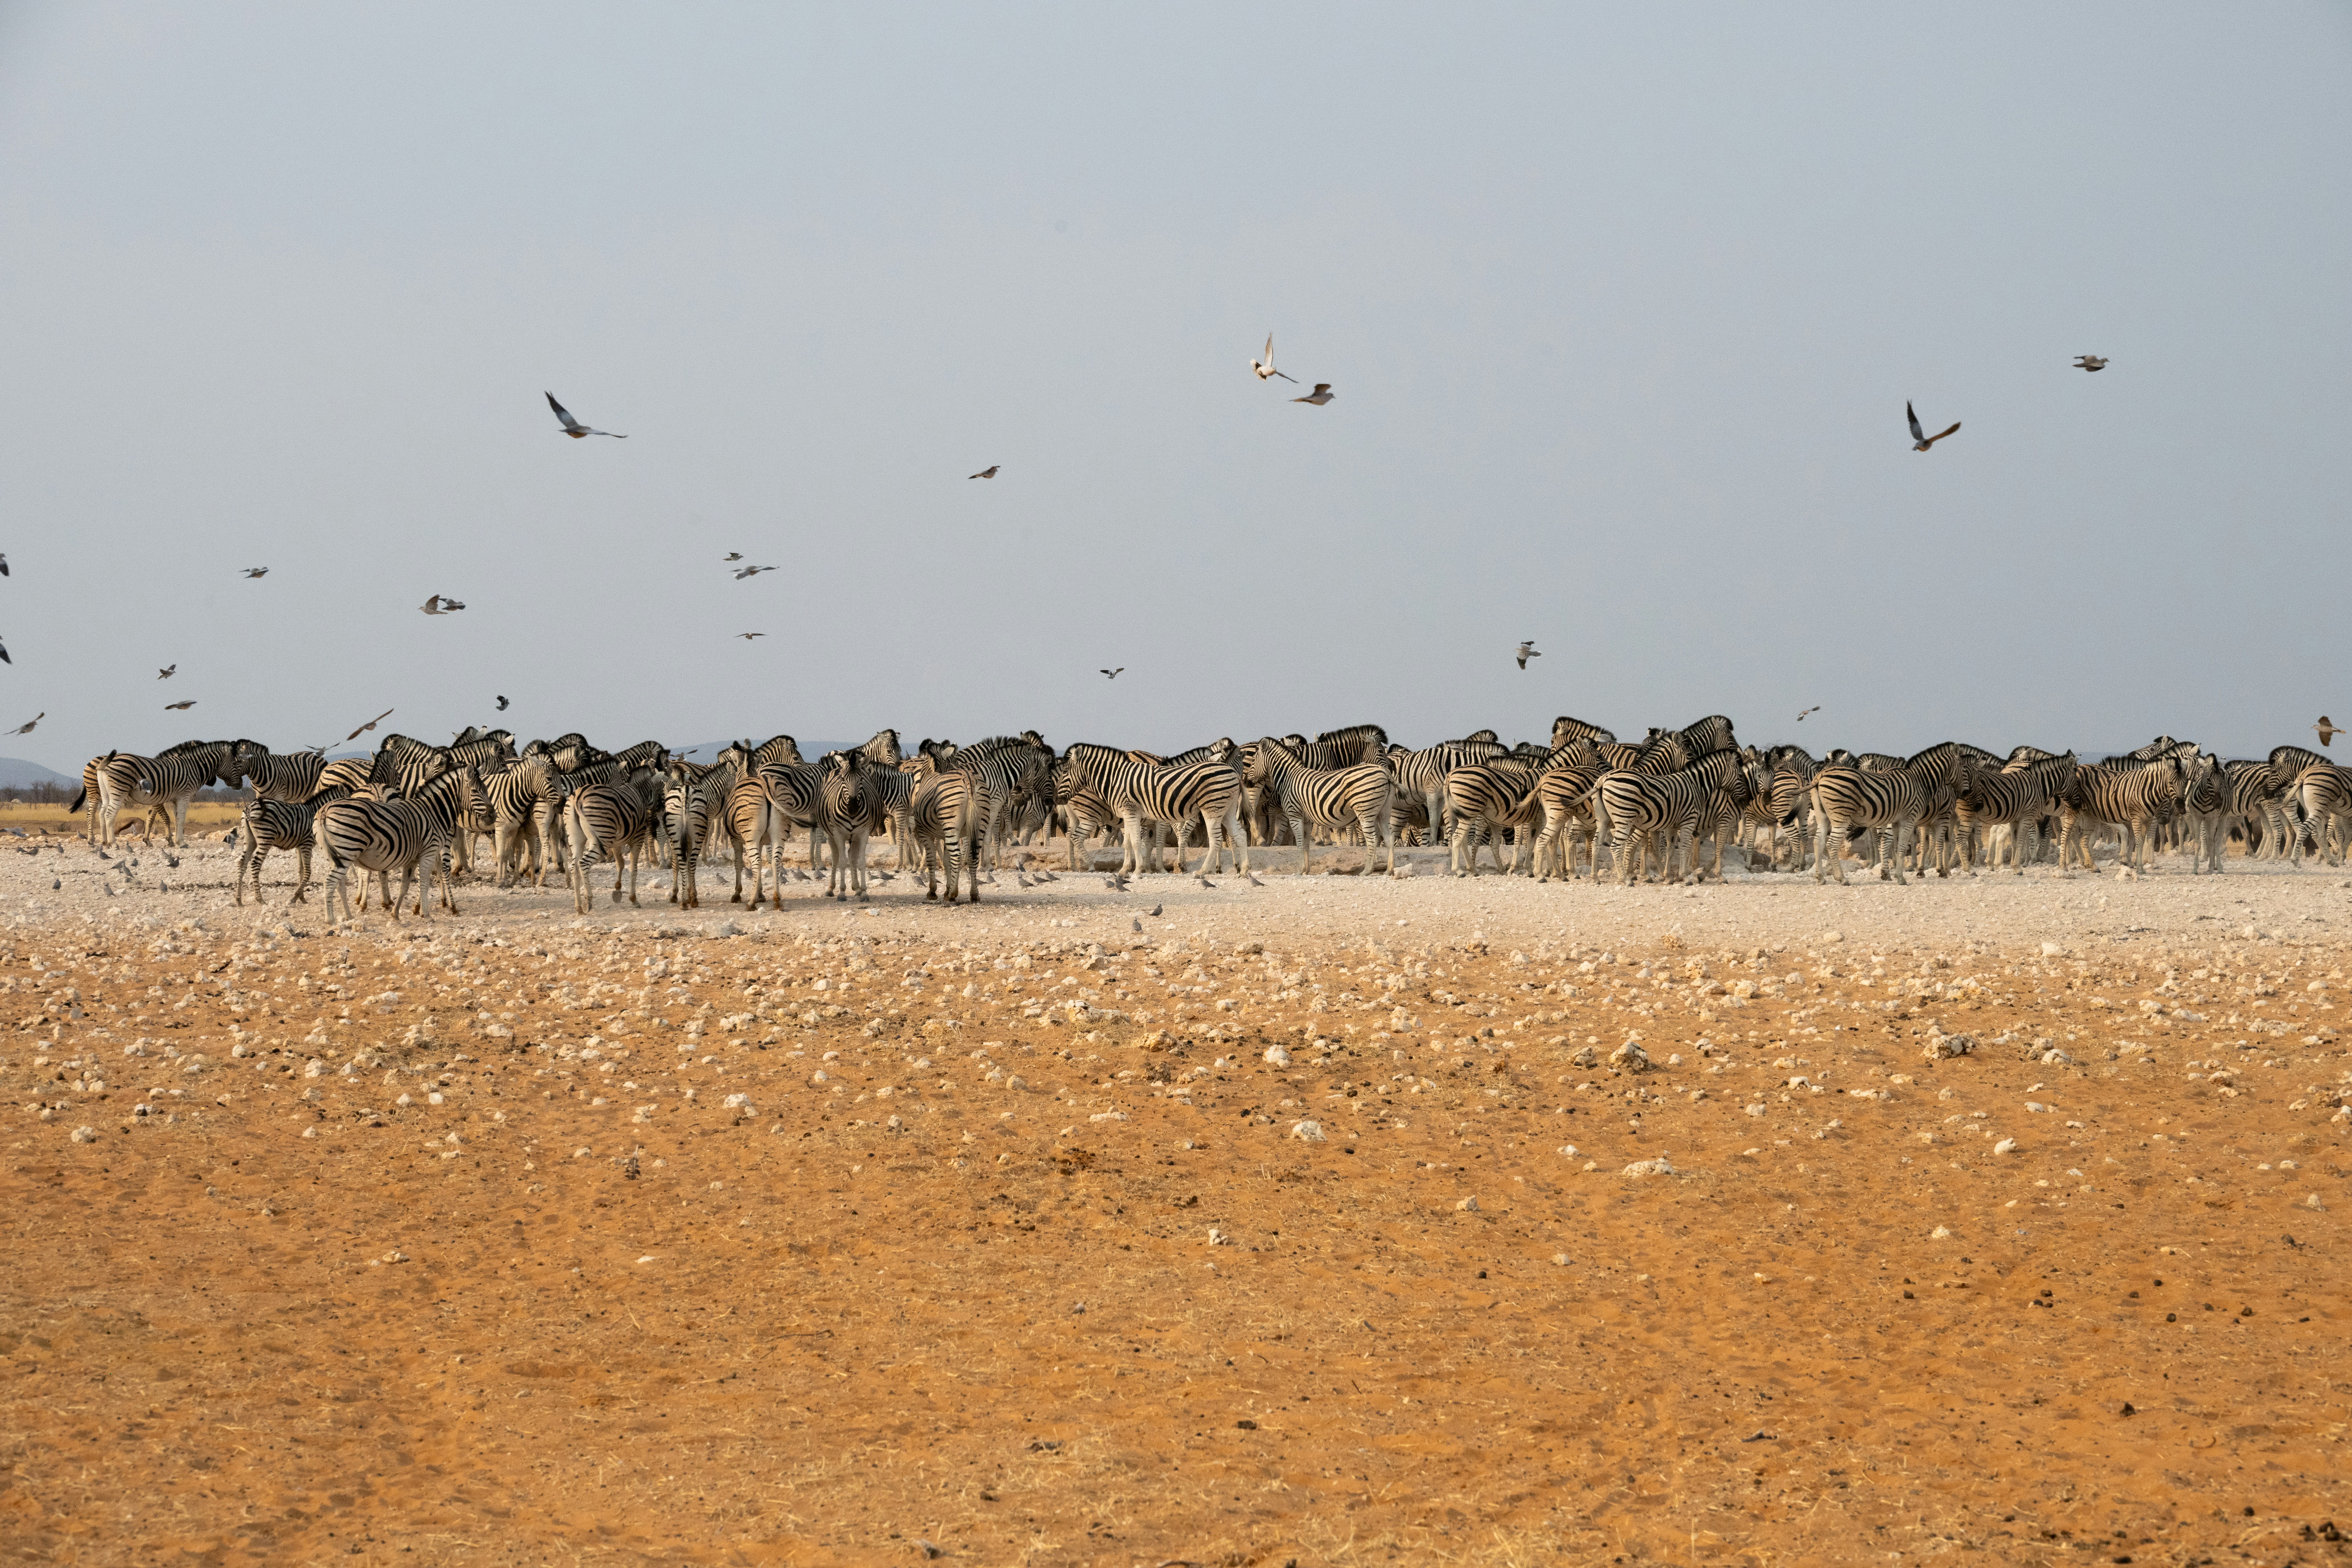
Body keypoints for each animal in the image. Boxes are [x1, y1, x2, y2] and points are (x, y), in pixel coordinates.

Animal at [317, 767, 485, 927]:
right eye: (476, 792)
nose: (491, 816)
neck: (433, 811)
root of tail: (325, 810)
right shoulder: (428, 852)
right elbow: (425, 881)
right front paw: (427, 913)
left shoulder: (415, 857)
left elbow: (406, 886)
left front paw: (399, 913)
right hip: (348, 852)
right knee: (332, 882)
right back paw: (331, 919)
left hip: (337, 856)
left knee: (340, 883)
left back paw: (351, 915)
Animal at [1055, 743, 1248, 876]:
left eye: (1065, 771)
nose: (1057, 799)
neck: (1116, 779)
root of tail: (1232, 774)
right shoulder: (1131, 815)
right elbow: (1132, 843)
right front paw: (1128, 870)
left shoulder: (1143, 816)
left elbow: (1145, 843)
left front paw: (1142, 870)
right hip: (1227, 809)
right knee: (1239, 834)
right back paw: (1245, 870)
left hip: (1213, 808)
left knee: (1217, 839)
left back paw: (1203, 872)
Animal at [1243, 737, 1395, 875]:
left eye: (1253, 761)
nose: (1245, 782)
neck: (1288, 778)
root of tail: (1385, 772)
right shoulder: (1306, 819)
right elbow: (1306, 845)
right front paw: (1306, 870)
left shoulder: (1294, 815)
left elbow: (1300, 843)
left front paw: (1299, 871)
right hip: (1383, 812)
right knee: (1390, 838)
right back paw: (1389, 870)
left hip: (1365, 812)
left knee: (1373, 840)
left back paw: (1367, 871)